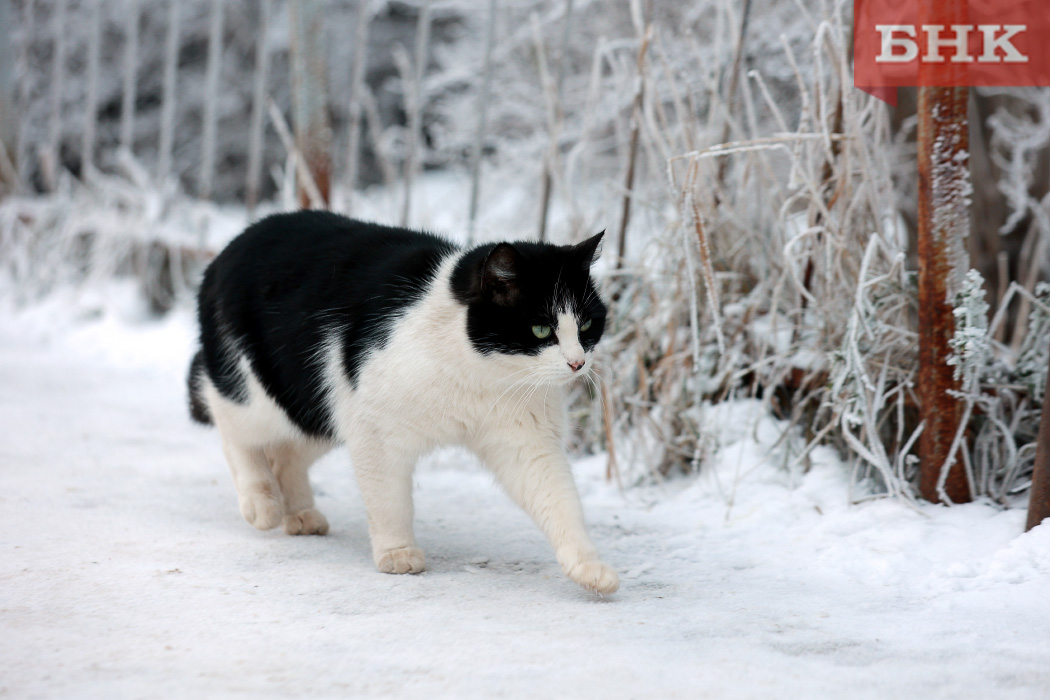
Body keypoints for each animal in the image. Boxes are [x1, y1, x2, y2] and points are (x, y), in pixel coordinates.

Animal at [187, 210, 617, 596]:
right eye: (541, 329)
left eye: (586, 325)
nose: (578, 362)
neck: (480, 374)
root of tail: (230, 247)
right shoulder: (375, 430)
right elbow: (388, 500)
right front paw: (397, 553)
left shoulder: (528, 442)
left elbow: (560, 501)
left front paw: (590, 567)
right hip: (264, 395)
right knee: (231, 425)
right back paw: (261, 503)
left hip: (320, 411)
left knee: (285, 456)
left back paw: (301, 515)